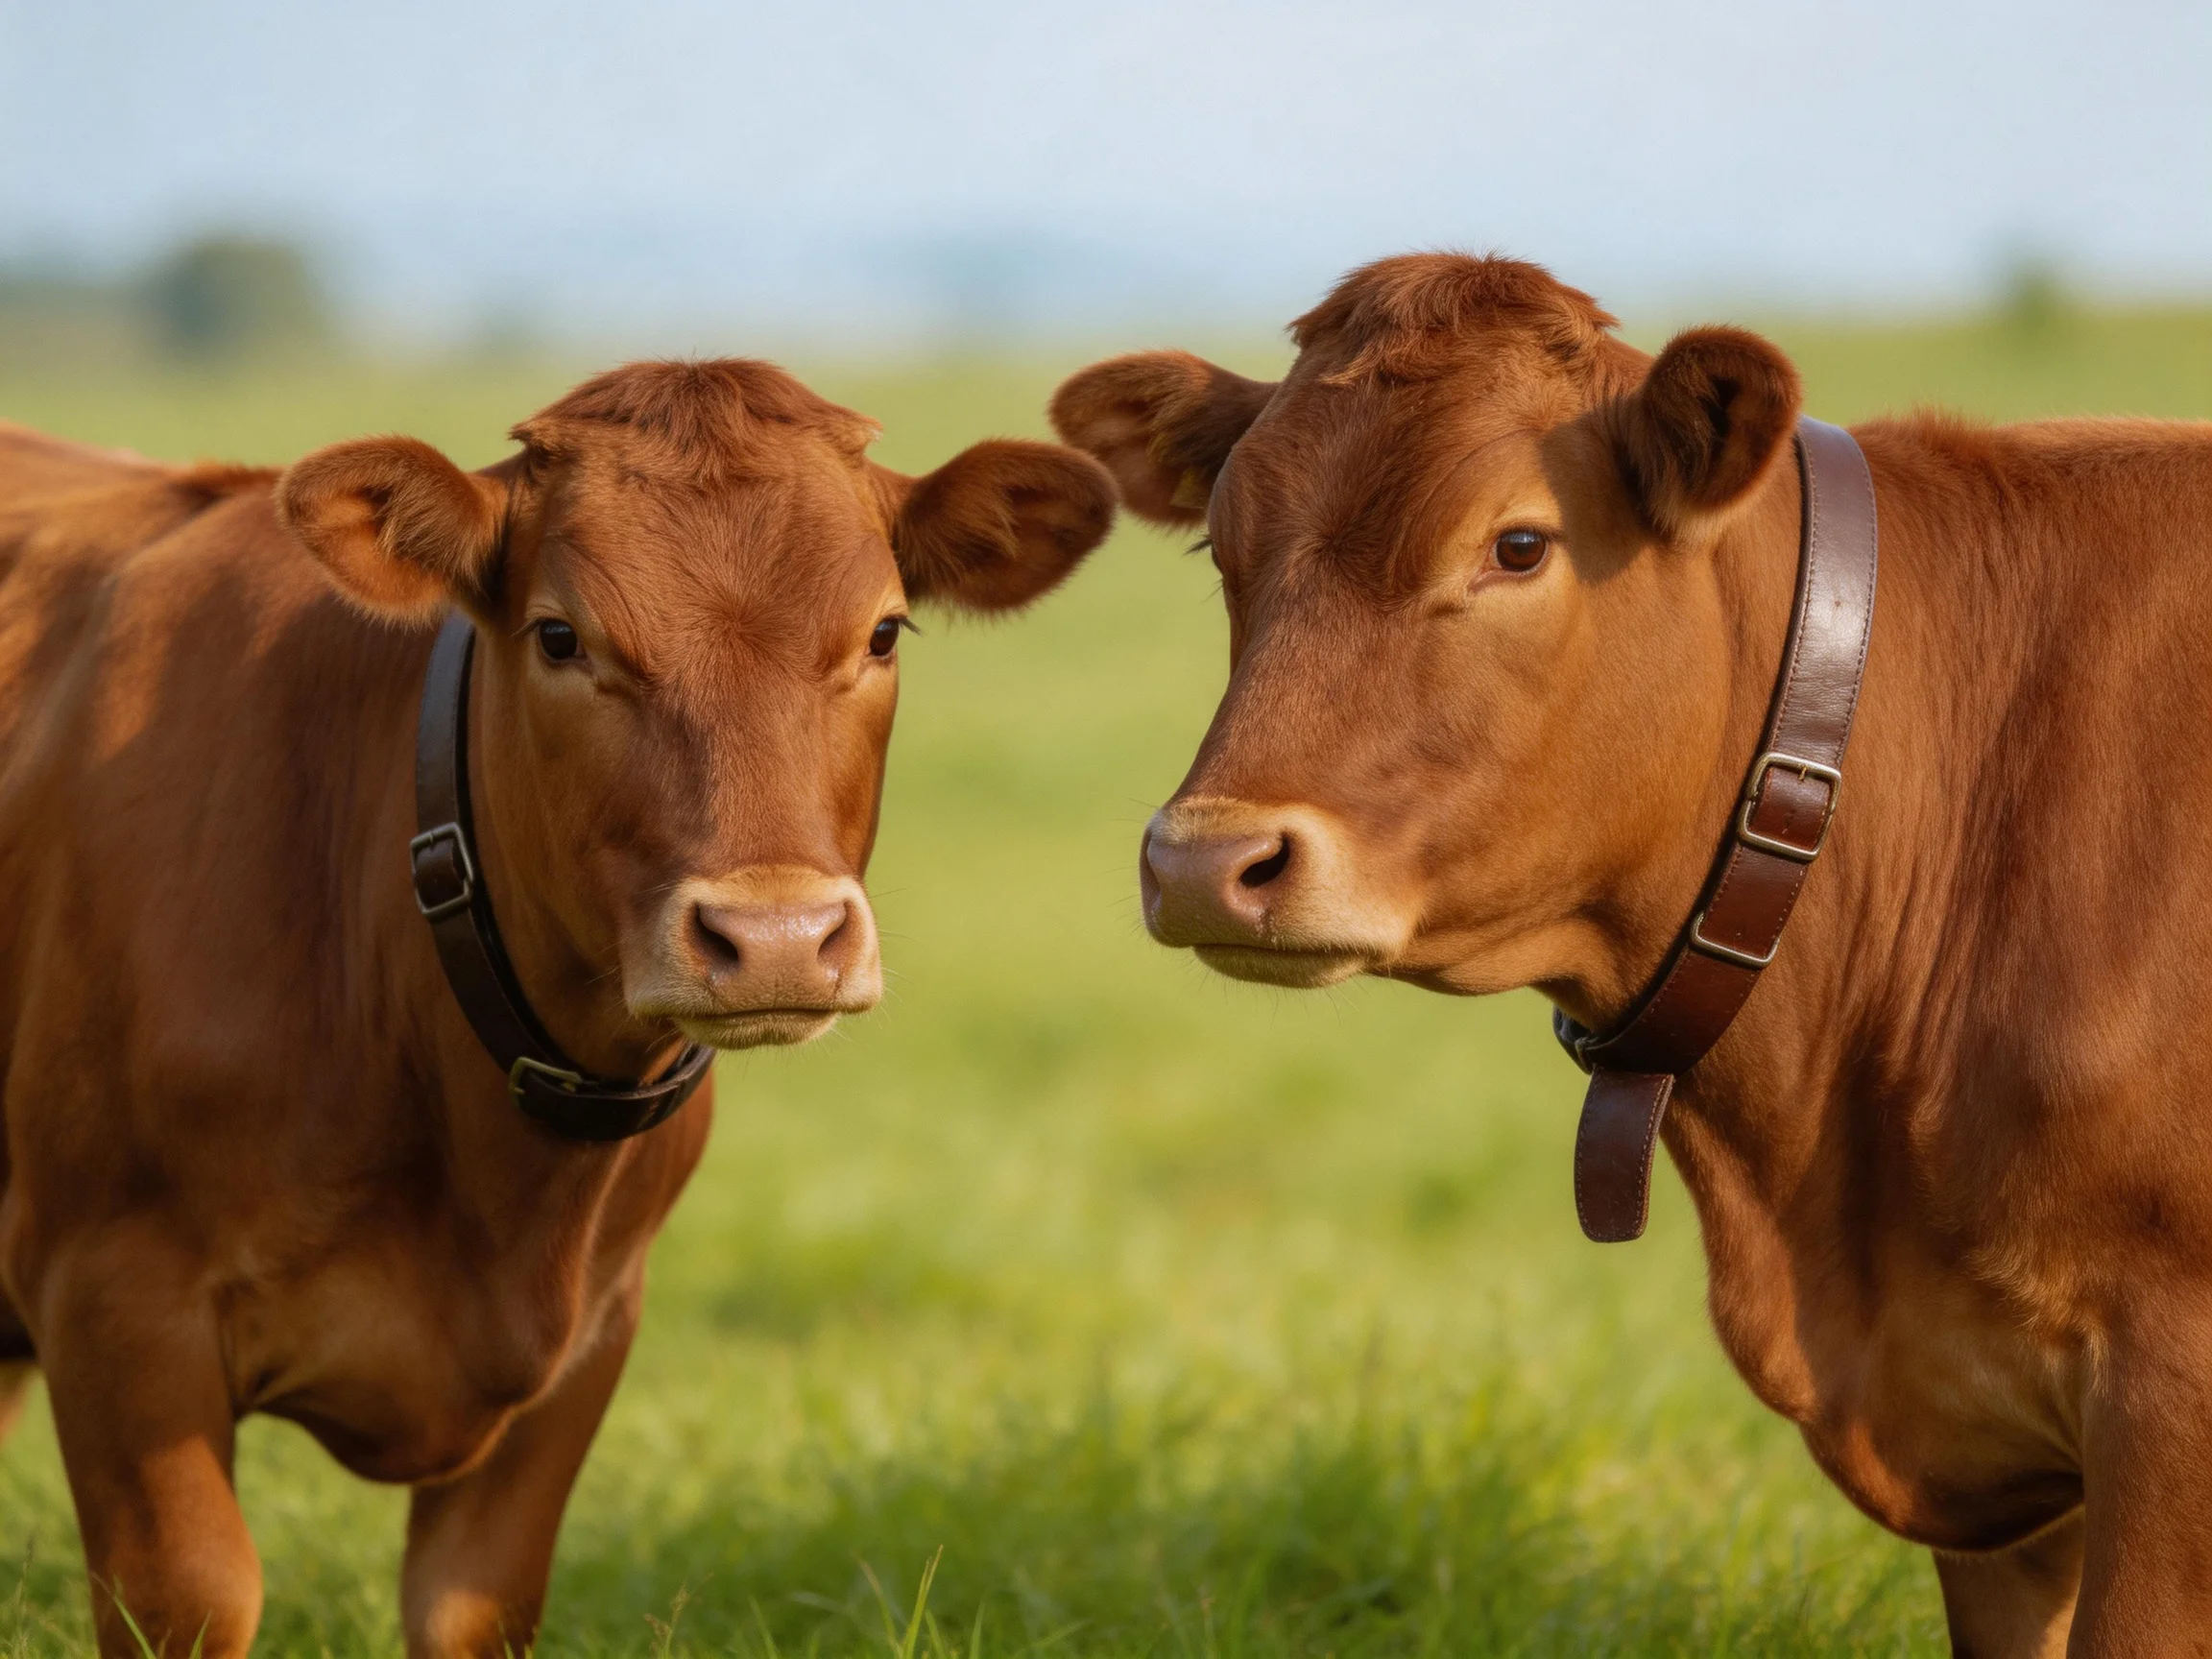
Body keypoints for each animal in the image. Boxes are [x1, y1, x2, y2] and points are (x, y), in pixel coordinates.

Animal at [0, 359, 1115, 1658]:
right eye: (561, 636)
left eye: (884, 630)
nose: (777, 939)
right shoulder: (113, 1299)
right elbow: (194, 1597)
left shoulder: (587, 1342)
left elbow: (475, 1608)